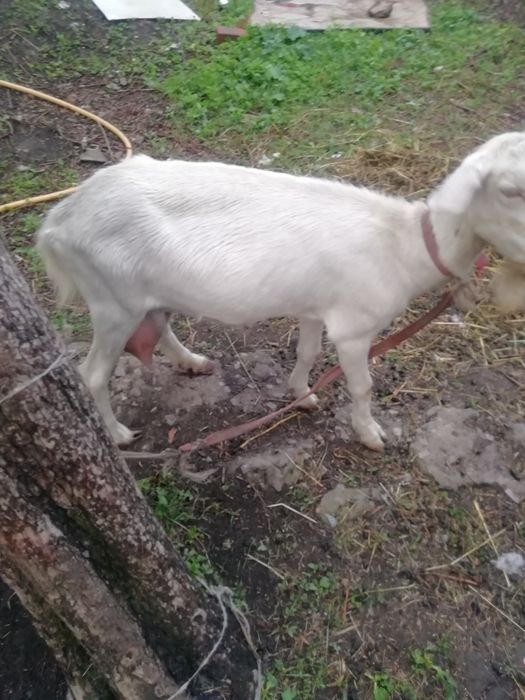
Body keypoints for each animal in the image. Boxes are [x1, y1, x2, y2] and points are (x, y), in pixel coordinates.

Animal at [36, 131, 525, 448]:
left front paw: (302, 395)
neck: (403, 245)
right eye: (508, 189)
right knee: (92, 374)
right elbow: (362, 386)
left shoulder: (314, 307)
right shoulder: (354, 327)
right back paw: (118, 434)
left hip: (139, 294)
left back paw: (192, 361)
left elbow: (307, 352)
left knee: (159, 323)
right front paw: (370, 434)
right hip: (110, 300)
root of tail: (58, 221)